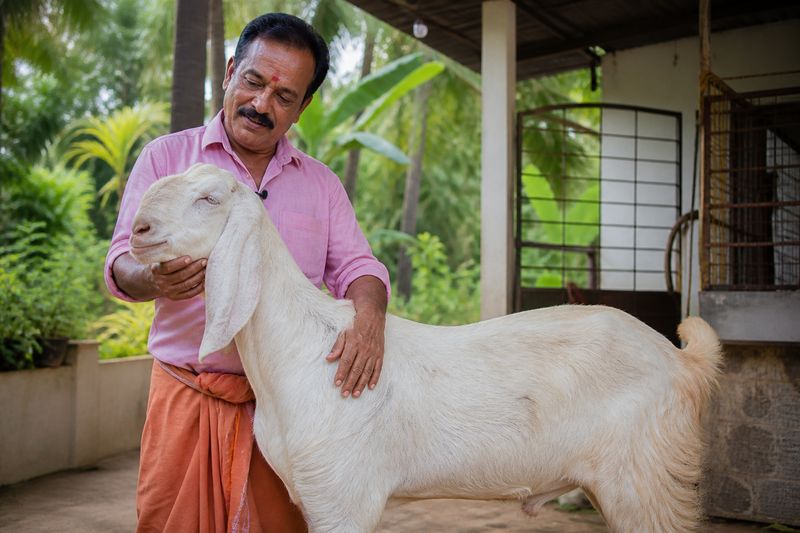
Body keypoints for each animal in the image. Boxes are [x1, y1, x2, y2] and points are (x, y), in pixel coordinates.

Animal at [129, 163, 722, 533]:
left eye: (208, 199)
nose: (138, 229)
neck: (298, 348)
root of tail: (682, 359)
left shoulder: (342, 499)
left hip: (648, 480)